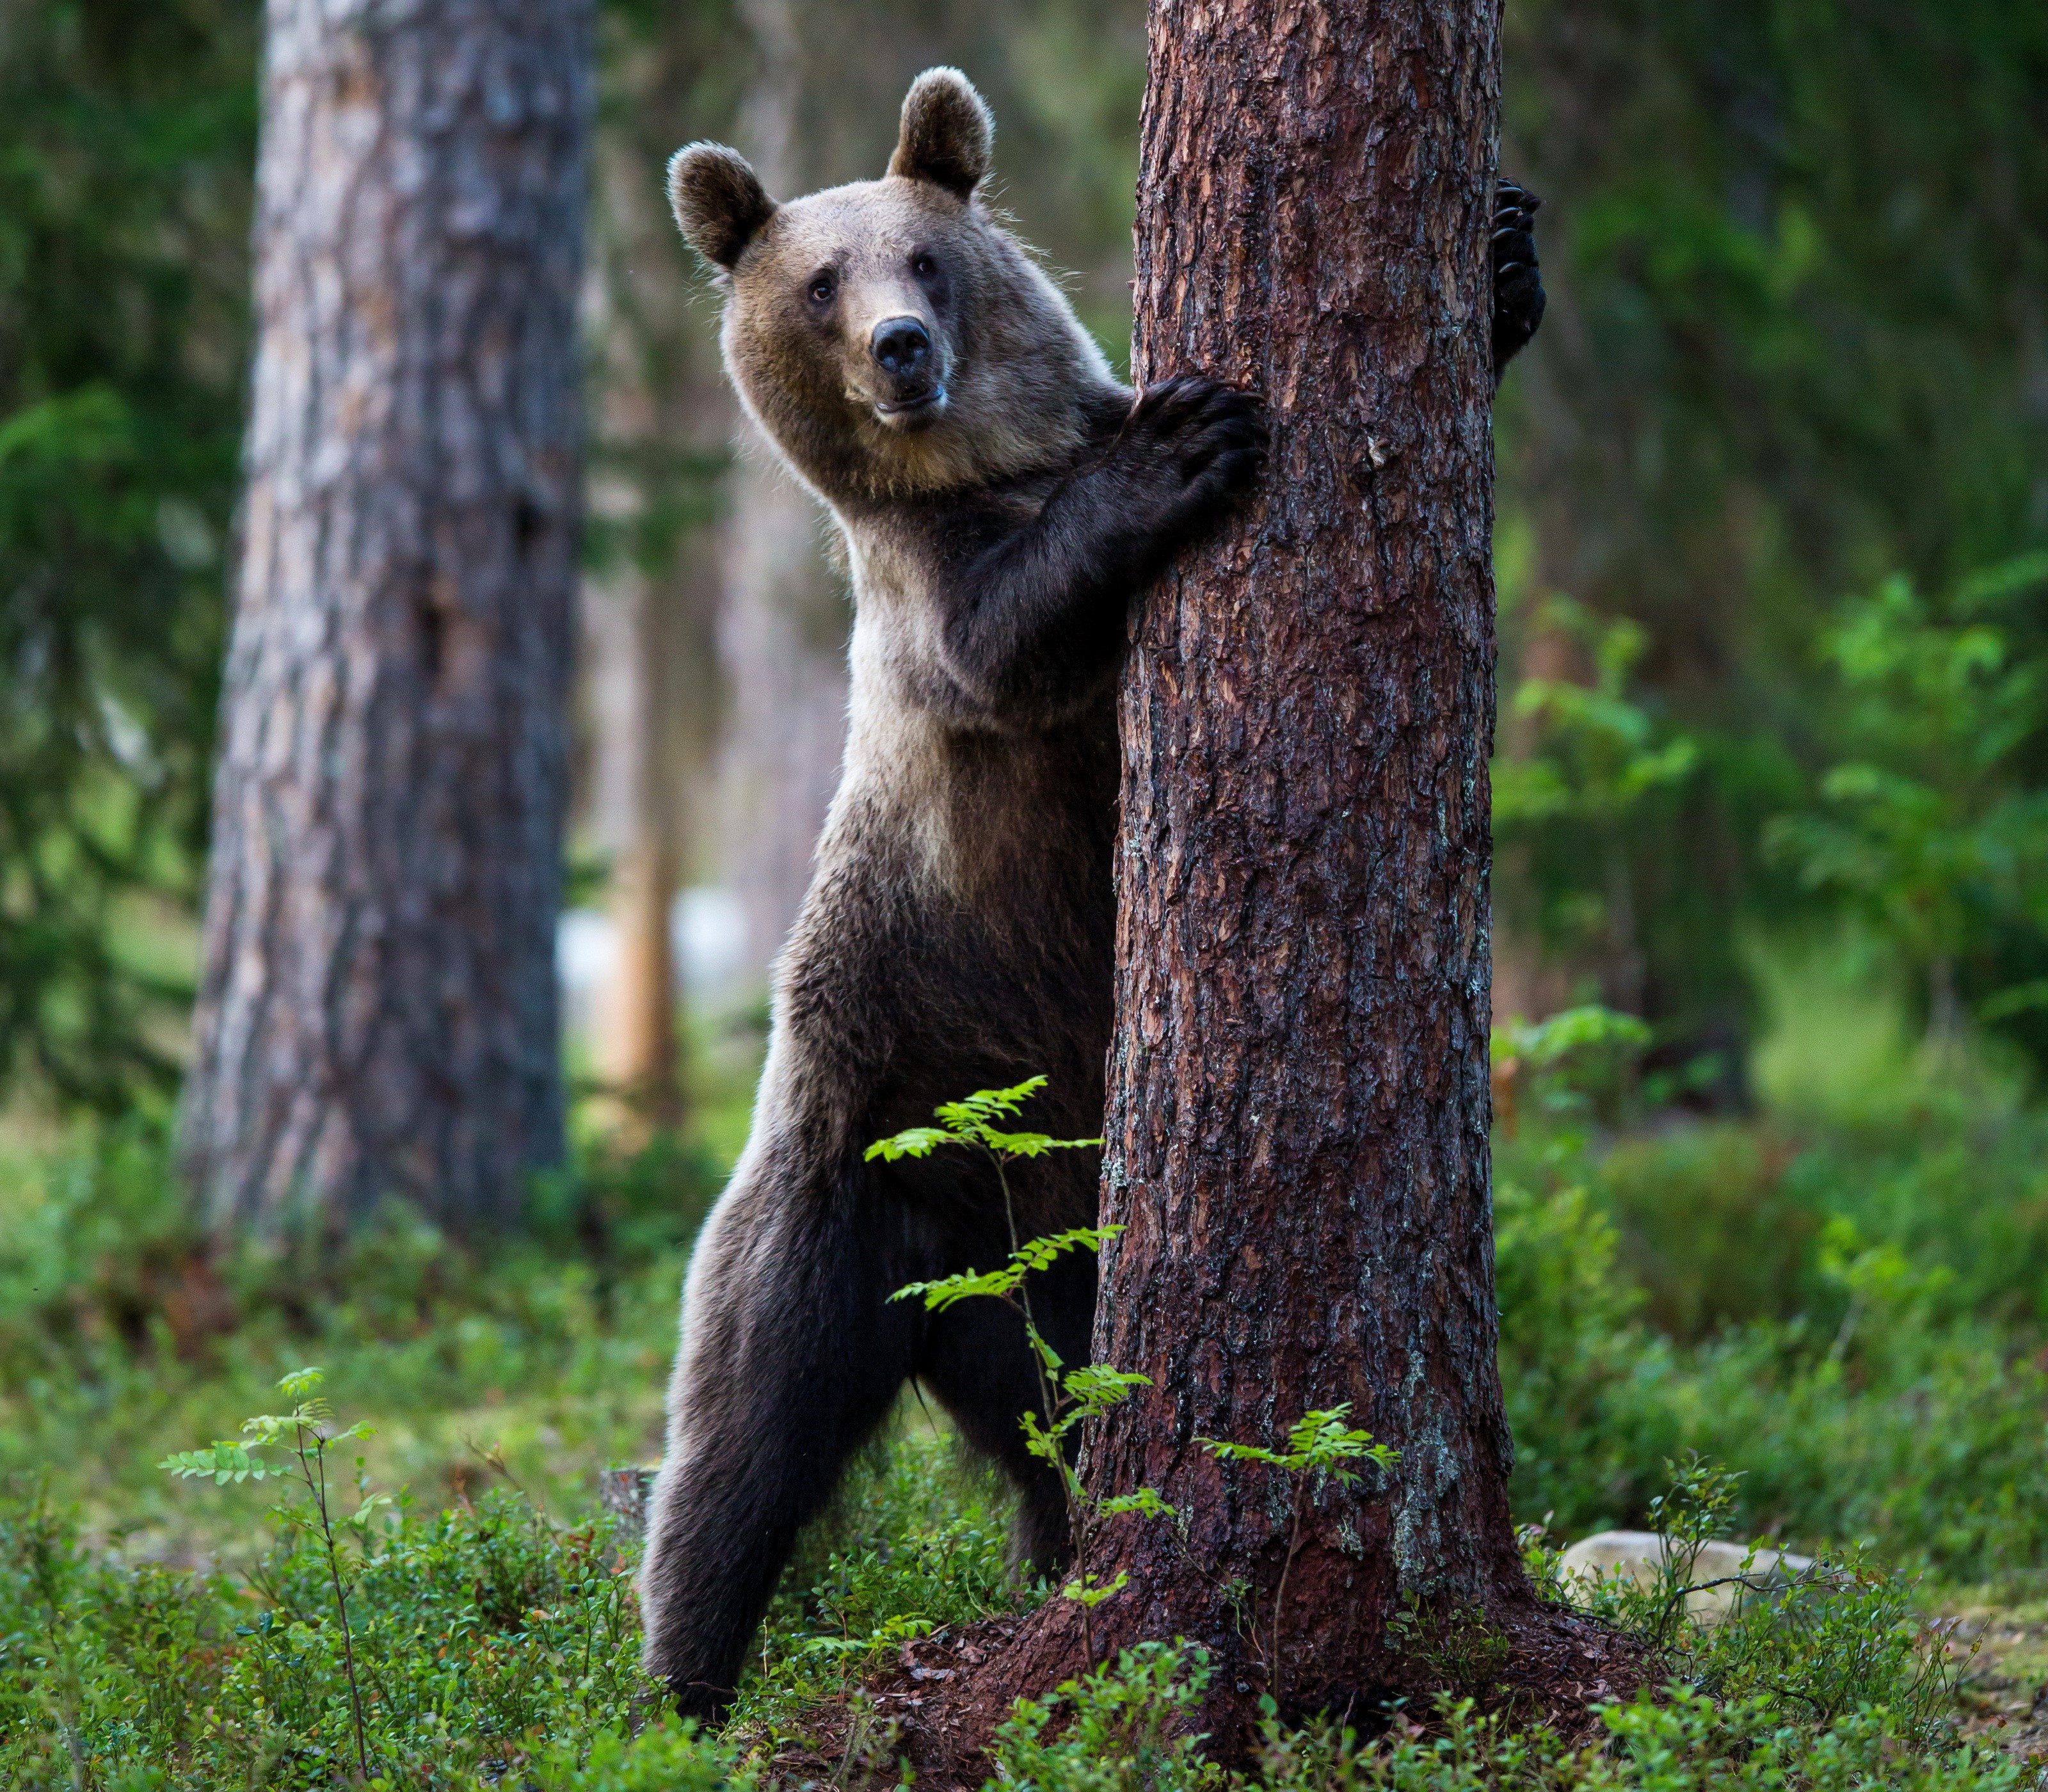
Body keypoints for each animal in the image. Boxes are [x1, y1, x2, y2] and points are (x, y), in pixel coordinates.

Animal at [641, 67, 1546, 1719]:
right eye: (818, 282)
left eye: (925, 258)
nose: (903, 348)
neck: (980, 469)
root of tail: (960, 1270)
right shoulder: (936, 619)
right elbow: (1011, 635)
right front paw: (1190, 440)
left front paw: (1503, 256)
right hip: (850, 1166)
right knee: (736, 1447)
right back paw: (681, 1684)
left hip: (1056, 1259)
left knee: (1062, 1421)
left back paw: (1074, 1558)